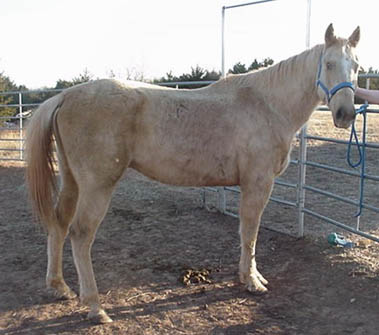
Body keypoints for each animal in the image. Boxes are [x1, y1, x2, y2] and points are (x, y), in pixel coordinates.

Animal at [26, 24, 360, 326]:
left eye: (356, 65)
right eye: (329, 64)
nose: (345, 115)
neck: (267, 105)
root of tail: (65, 96)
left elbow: (245, 232)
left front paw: (249, 275)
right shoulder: (258, 184)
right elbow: (250, 233)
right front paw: (252, 281)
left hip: (72, 181)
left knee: (59, 223)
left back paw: (60, 287)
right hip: (97, 187)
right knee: (81, 234)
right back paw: (96, 308)